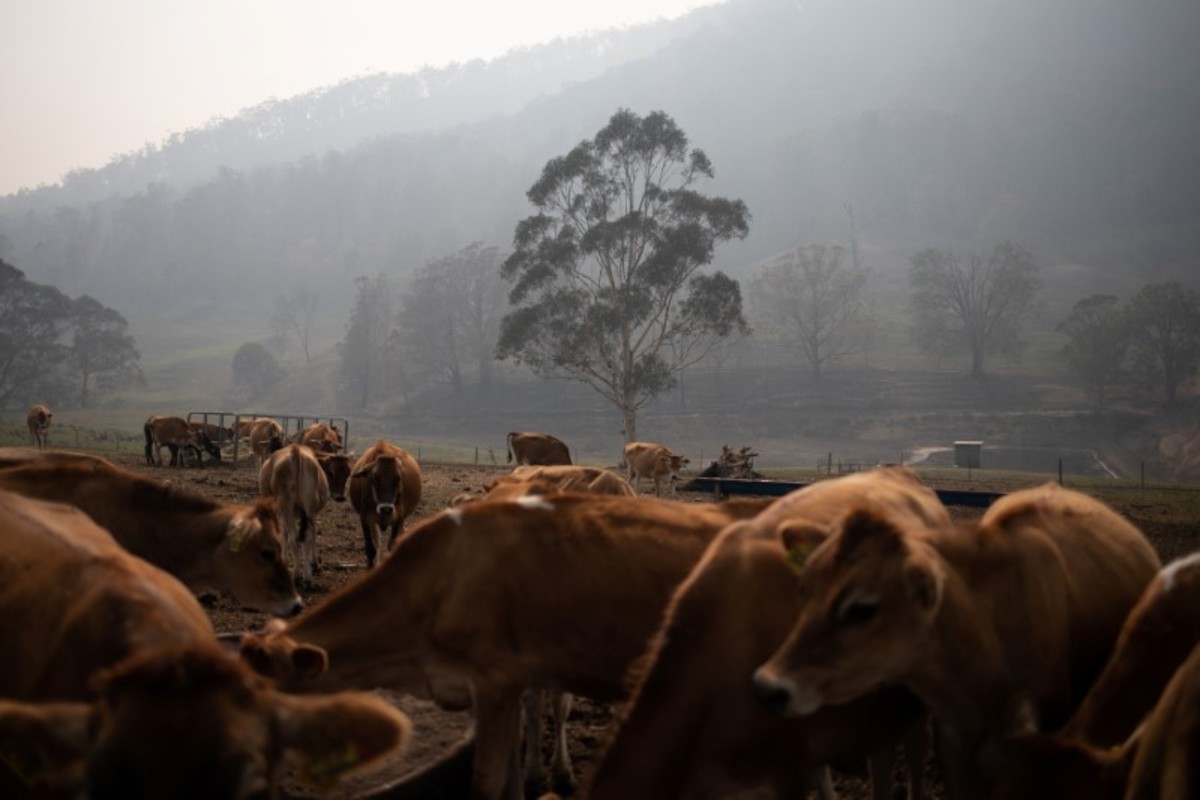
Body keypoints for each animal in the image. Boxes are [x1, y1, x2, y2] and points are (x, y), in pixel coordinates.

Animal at [260, 444, 331, 588]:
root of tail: (295, 450)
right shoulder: (311, 513)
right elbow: (312, 536)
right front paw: (314, 563)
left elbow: (284, 534)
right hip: (309, 506)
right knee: (308, 538)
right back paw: (307, 577)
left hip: (286, 505)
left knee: (293, 539)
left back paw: (296, 575)